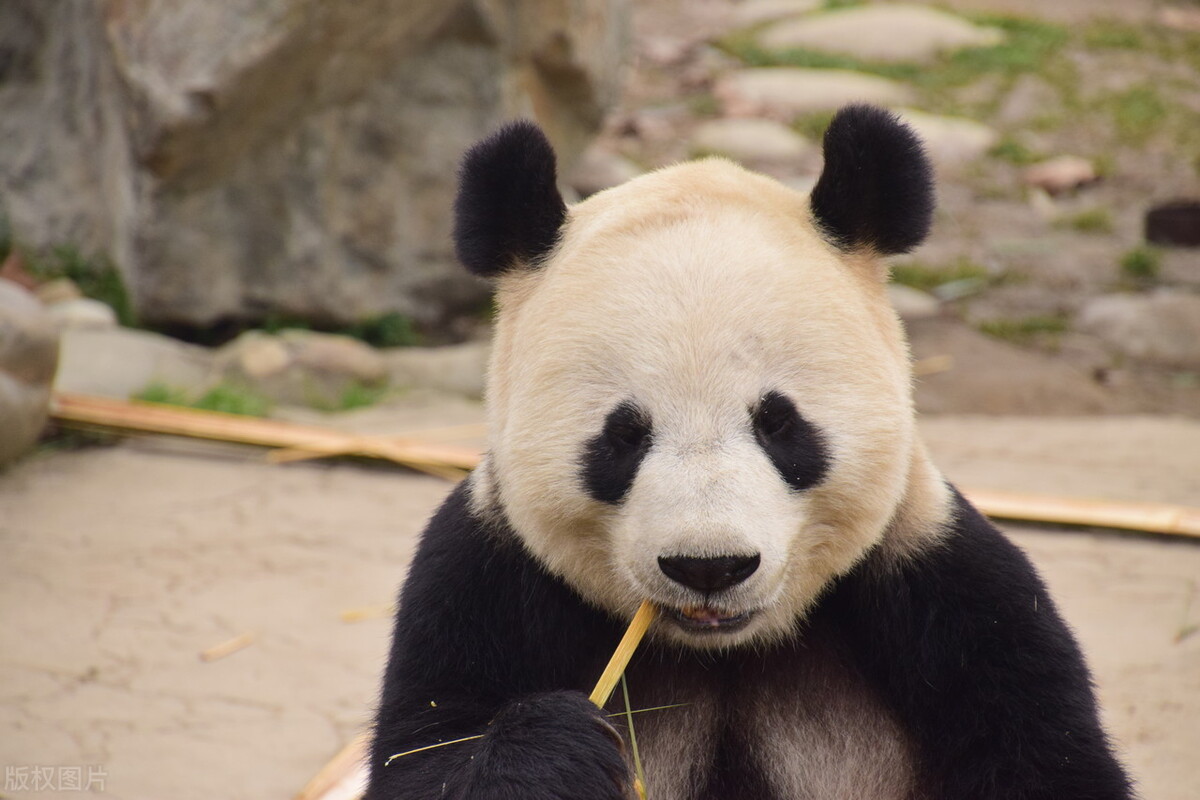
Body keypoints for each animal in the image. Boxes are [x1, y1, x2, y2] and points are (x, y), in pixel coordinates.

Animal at [367, 107, 1132, 800]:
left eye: (779, 424)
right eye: (623, 437)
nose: (710, 566)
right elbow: (424, 757)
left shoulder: (944, 581)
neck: (723, 647)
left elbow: (1043, 758)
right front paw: (555, 742)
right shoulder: (481, 578)